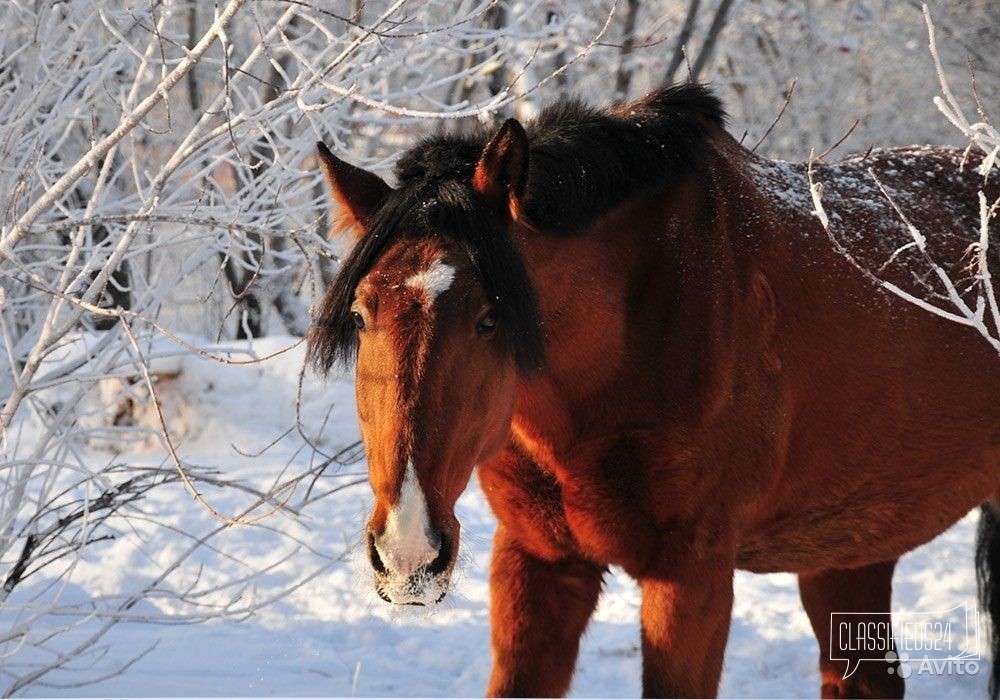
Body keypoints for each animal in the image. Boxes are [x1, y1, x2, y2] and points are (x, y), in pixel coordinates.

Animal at [308, 85, 996, 696]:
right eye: (362, 315)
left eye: (488, 319)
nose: (407, 552)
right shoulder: (537, 561)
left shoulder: (691, 579)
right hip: (847, 551)